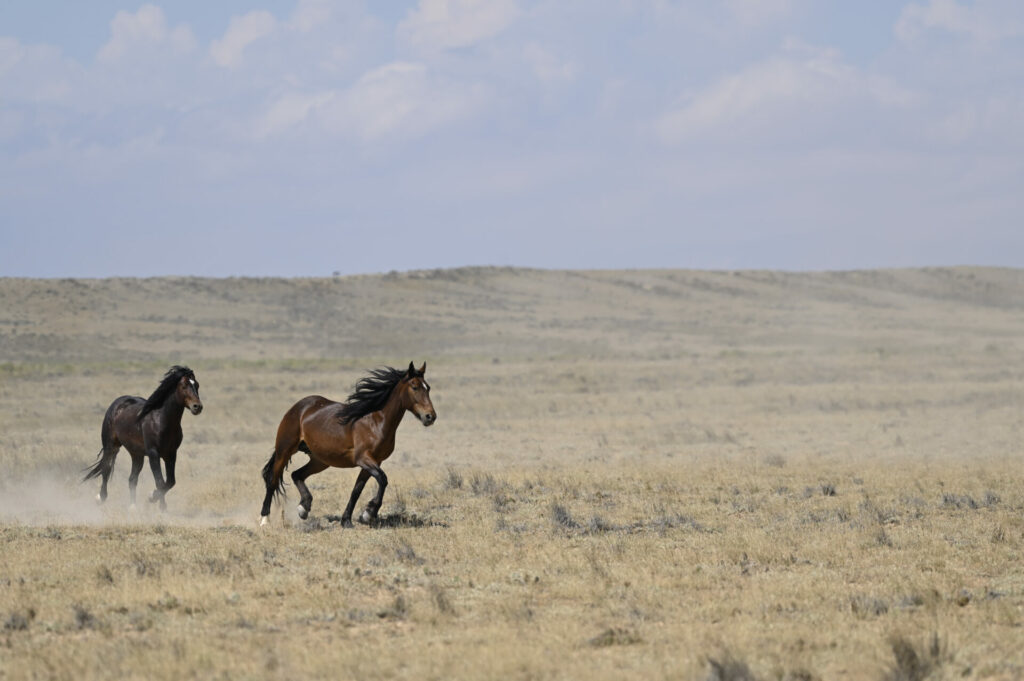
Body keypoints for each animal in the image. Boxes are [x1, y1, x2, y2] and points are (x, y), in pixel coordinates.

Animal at [82, 366, 202, 509]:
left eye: (197, 385)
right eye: (184, 386)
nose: (197, 407)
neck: (161, 421)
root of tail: (117, 403)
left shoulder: (171, 454)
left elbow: (170, 482)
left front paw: (157, 501)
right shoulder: (153, 454)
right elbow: (160, 482)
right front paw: (156, 502)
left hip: (136, 454)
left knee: (132, 479)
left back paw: (133, 507)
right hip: (111, 446)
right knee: (106, 469)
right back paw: (101, 498)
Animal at [260, 360, 436, 524]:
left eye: (428, 388)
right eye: (414, 387)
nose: (430, 417)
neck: (376, 422)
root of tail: (299, 407)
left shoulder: (374, 462)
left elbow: (357, 489)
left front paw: (348, 520)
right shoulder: (363, 459)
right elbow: (383, 479)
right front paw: (369, 513)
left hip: (320, 460)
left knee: (297, 474)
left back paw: (304, 508)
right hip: (284, 450)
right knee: (272, 481)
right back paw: (264, 520)